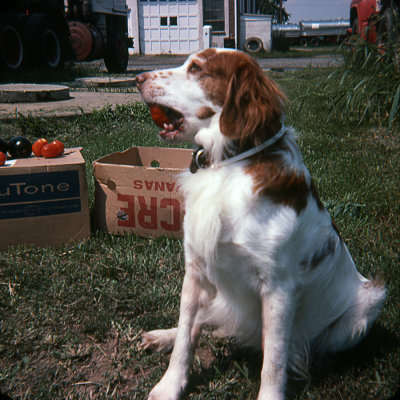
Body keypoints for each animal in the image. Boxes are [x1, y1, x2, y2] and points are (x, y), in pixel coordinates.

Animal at [136, 49, 386, 400]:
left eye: (196, 68)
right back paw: (163, 335)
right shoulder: (196, 269)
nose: (137, 78)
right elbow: (187, 334)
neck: (229, 163)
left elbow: (275, 360)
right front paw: (169, 385)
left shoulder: (279, 288)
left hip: (368, 303)